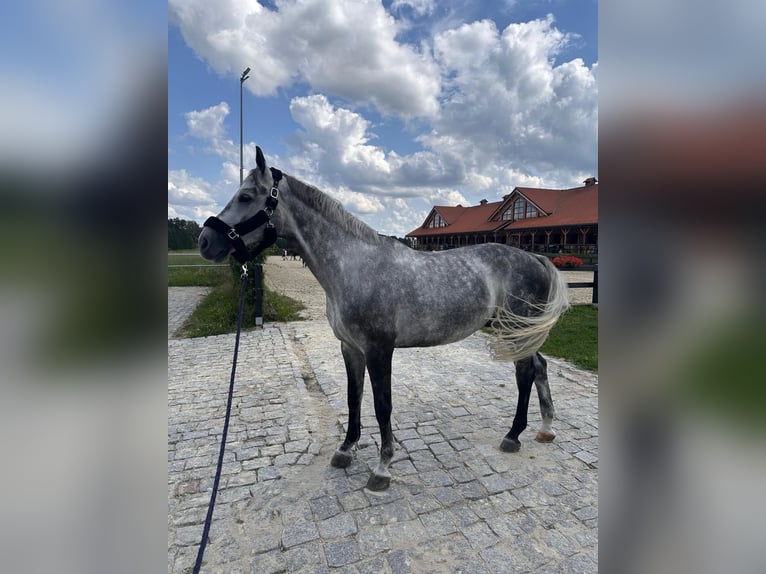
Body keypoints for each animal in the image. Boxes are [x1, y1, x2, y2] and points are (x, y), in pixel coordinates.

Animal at [201, 146, 572, 492]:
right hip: (517, 331)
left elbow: (382, 406)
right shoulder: (350, 348)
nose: (205, 242)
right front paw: (346, 450)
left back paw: (513, 435)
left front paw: (382, 469)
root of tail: (535, 258)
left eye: (246, 196)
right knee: (539, 368)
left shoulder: (380, 350)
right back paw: (545, 429)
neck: (354, 266)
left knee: (525, 374)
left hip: (515, 330)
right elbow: (353, 398)